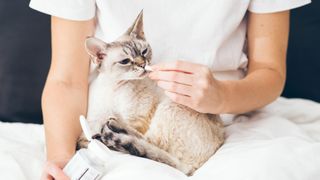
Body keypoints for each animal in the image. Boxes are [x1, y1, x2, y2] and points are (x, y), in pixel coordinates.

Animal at [77, 10, 225, 175]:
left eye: (144, 52)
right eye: (125, 61)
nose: (143, 64)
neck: (114, 87)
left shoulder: (137, 119)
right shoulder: (94, 118)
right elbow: (85, 136)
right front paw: (89, 139)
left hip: (169, 106)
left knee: (149, 143)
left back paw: (112, 129)